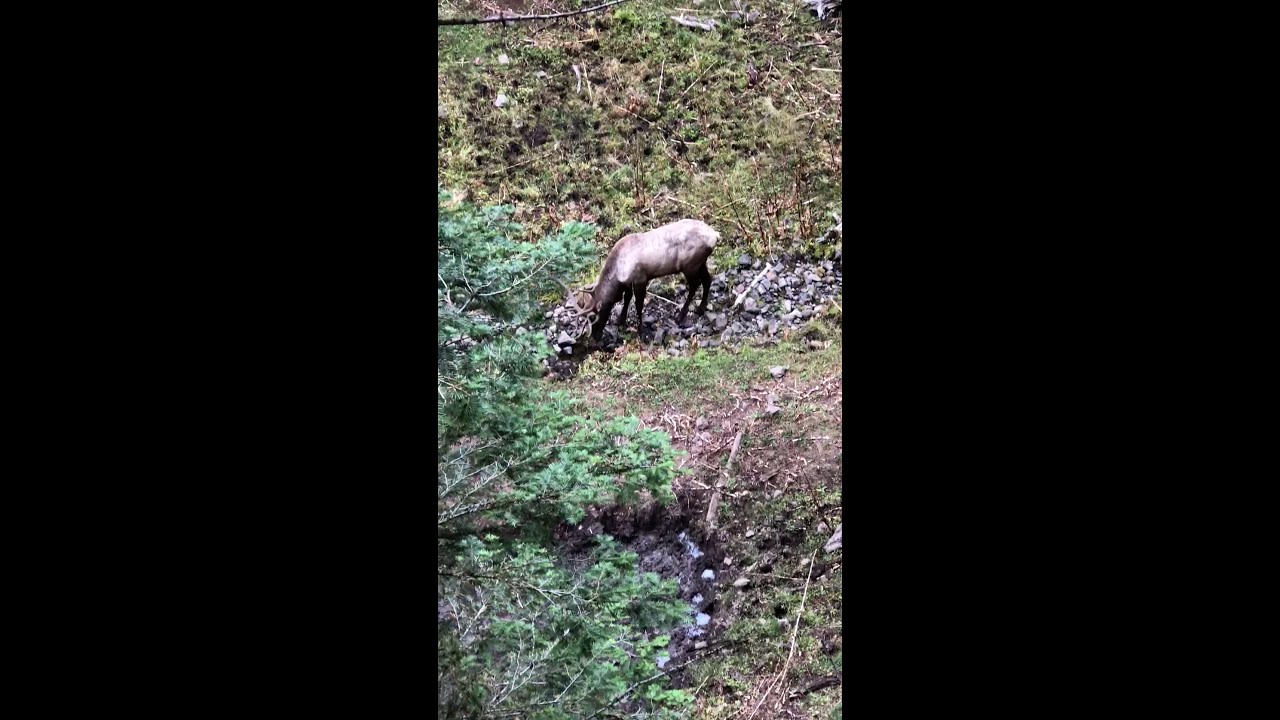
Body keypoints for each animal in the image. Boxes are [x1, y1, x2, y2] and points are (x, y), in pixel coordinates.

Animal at [564, 219, 720, 342]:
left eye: (592, 317)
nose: (595, 337)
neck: (617, 273)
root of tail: (715, 235)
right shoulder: (628, 283)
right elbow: (627, 299)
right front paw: (621, 320)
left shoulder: (641, 280)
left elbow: (638, 305)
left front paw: (641, 331)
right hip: (701, 262)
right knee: (708, 280)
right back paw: (700, 308)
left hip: (690, 265)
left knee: (695, 284)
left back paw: (681, 316)